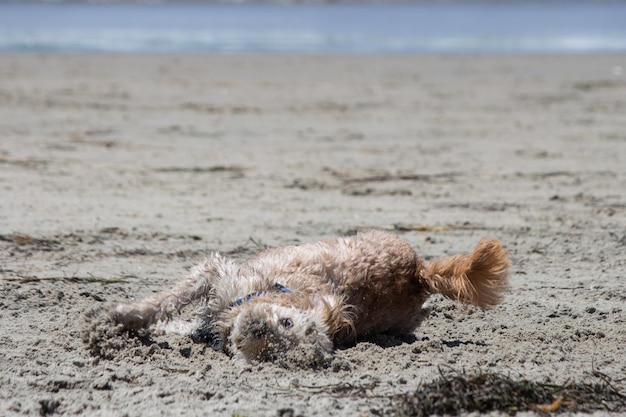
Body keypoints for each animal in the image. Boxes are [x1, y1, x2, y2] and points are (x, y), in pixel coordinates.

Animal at [111, 231, 508, 360]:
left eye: (274, 350)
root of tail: (419, 273)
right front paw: (128, 315)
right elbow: (169, 301)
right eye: (286, 322)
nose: (260, 328)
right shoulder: (218, 277)